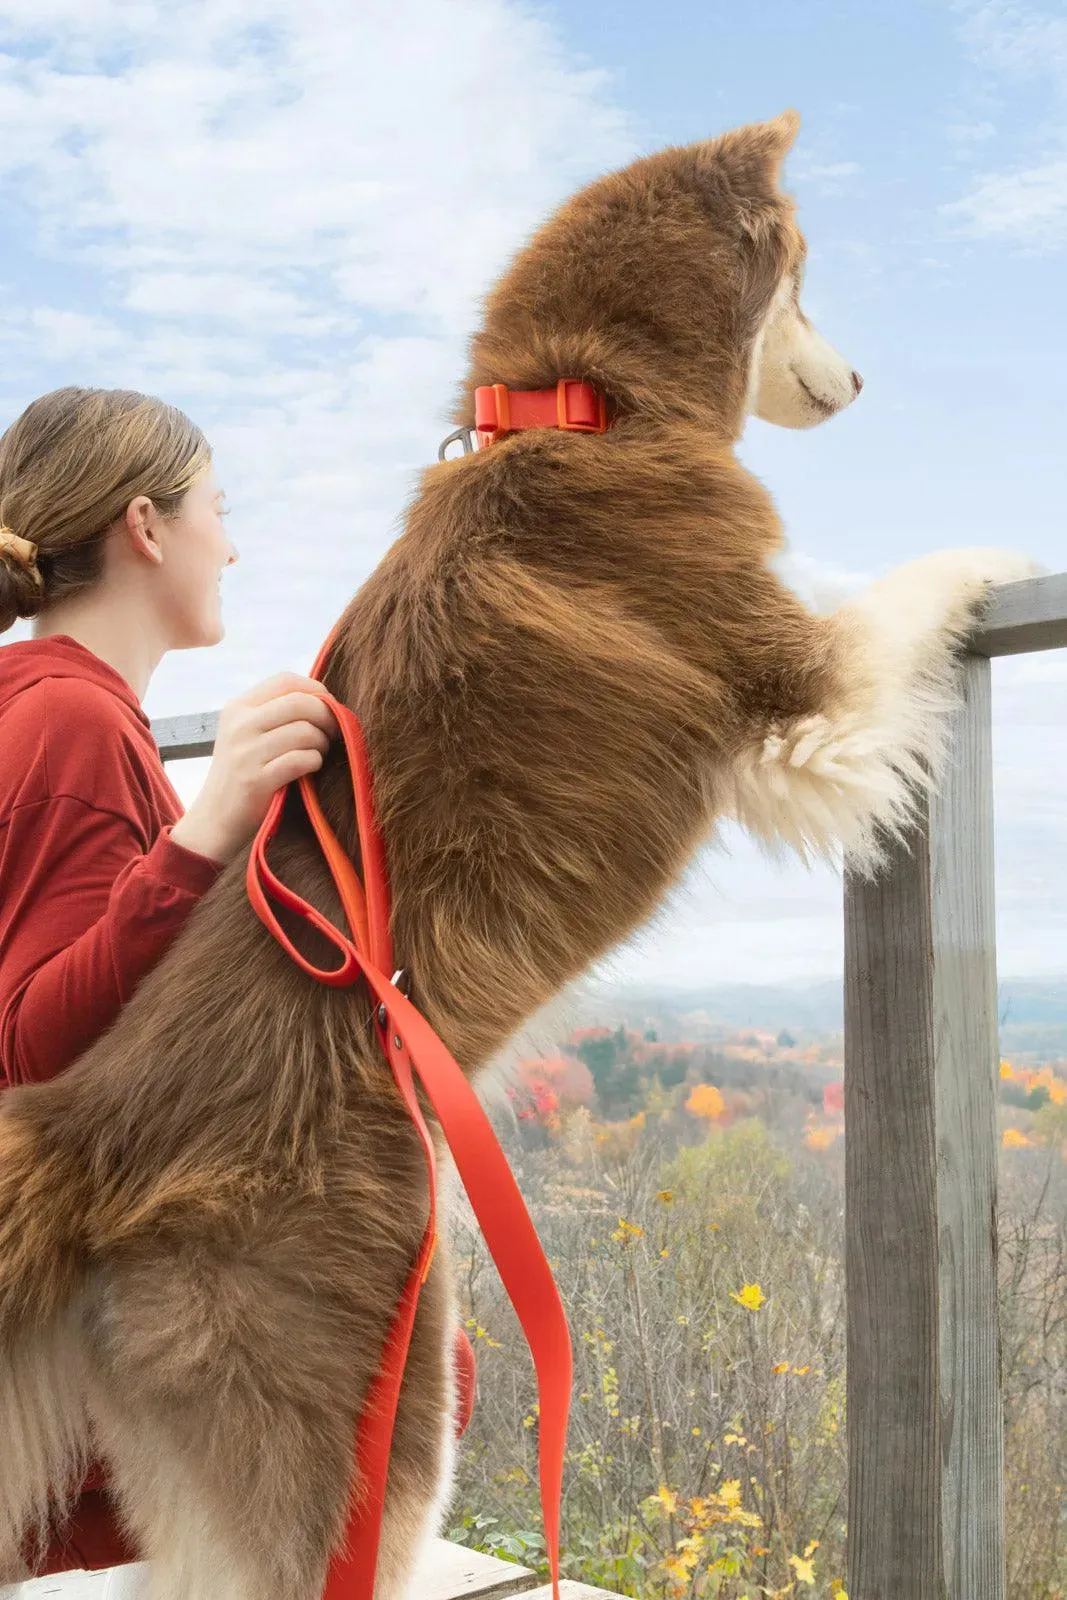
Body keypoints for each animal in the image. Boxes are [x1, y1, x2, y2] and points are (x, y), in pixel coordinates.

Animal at [0, 112, 1036, 1600]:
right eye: (805, 283)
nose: (859, 378)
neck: (588, 409)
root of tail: (88, 1126)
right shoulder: (805, 691)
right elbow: (909, 584)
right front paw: (998, 546)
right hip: (380, 1410)